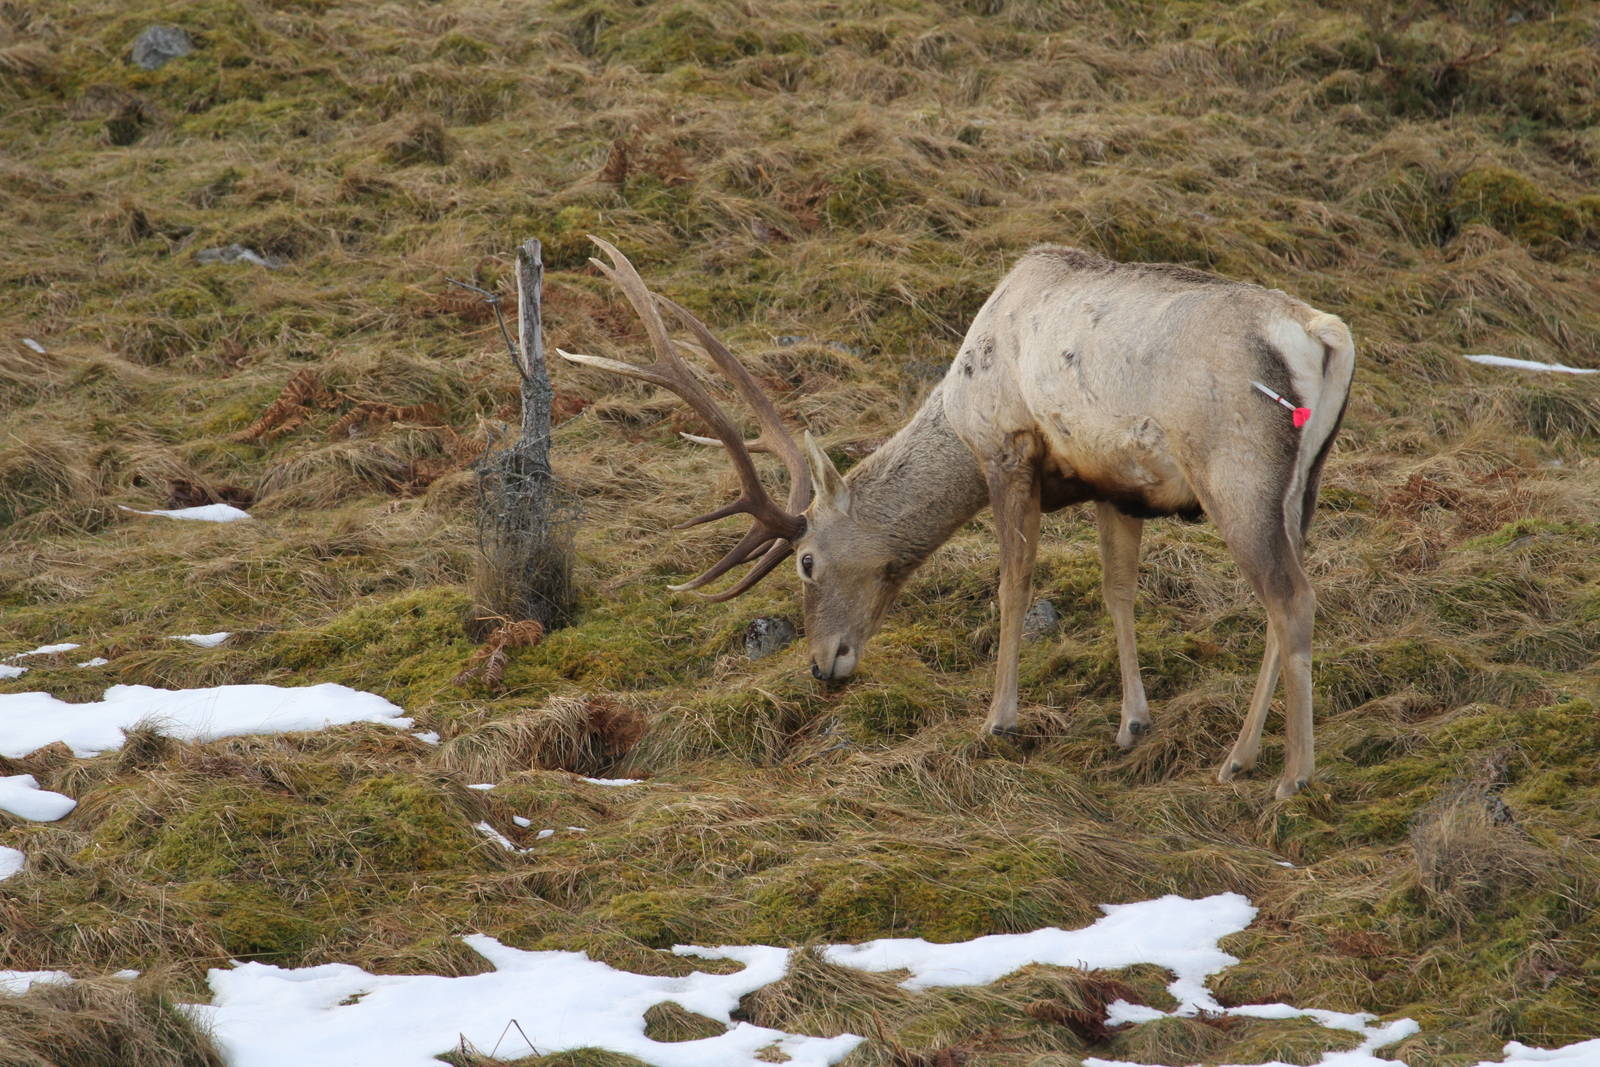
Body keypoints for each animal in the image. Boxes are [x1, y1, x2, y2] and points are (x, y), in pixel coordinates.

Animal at [559, 238, 1354, 799]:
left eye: (807, 560)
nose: (823, 665)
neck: (957, 406)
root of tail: (1326, 334)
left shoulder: (1007, 449)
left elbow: (1014, 584)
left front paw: (999, 718)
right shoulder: (1114, 484)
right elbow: (1118, 591)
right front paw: (1133, 722)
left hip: (1235, 468)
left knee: (1291, 598)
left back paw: (1290, 773)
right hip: (1302, 484)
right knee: (1283, 601)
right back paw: (1243, 756)